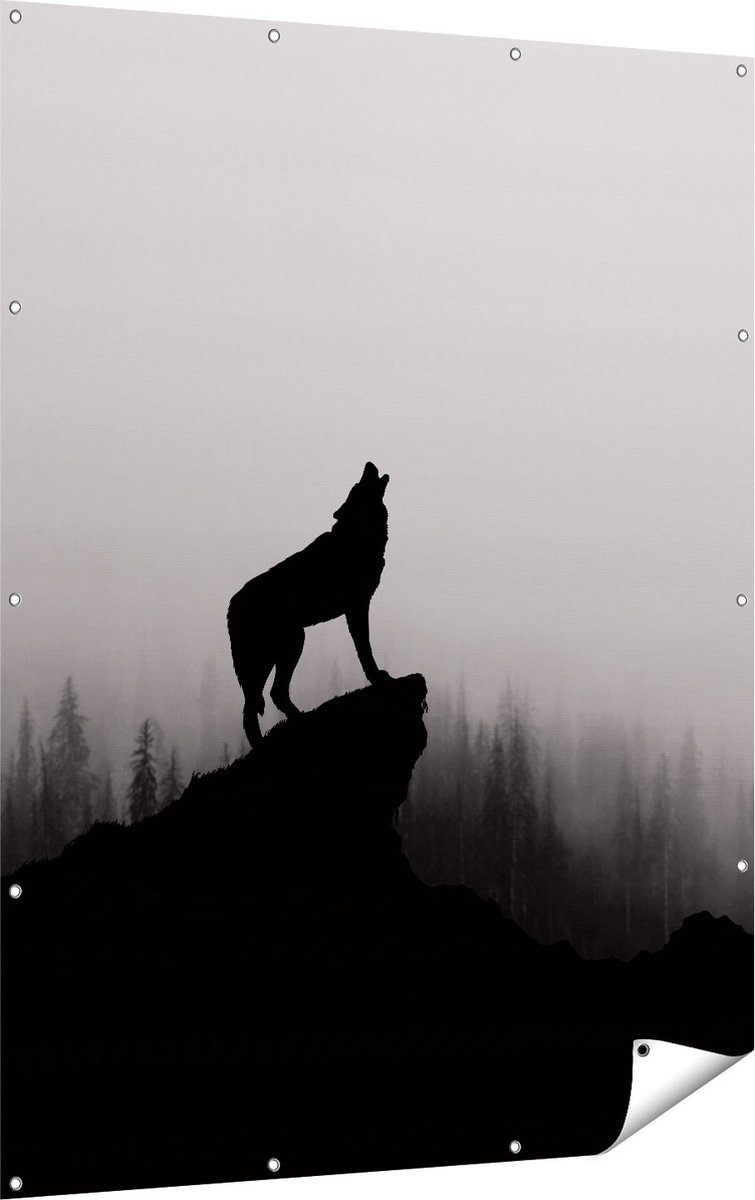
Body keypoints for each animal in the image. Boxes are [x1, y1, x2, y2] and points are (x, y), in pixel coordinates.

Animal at [228, 462, 391, 746]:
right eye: (358, 485)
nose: (368, 463)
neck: (358, 534)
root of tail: (231, 605)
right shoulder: (357, 606)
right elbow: (364, 649)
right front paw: (376, 677)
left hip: (281, 649)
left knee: (265, 698)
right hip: (284, 647)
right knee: (259, 703)